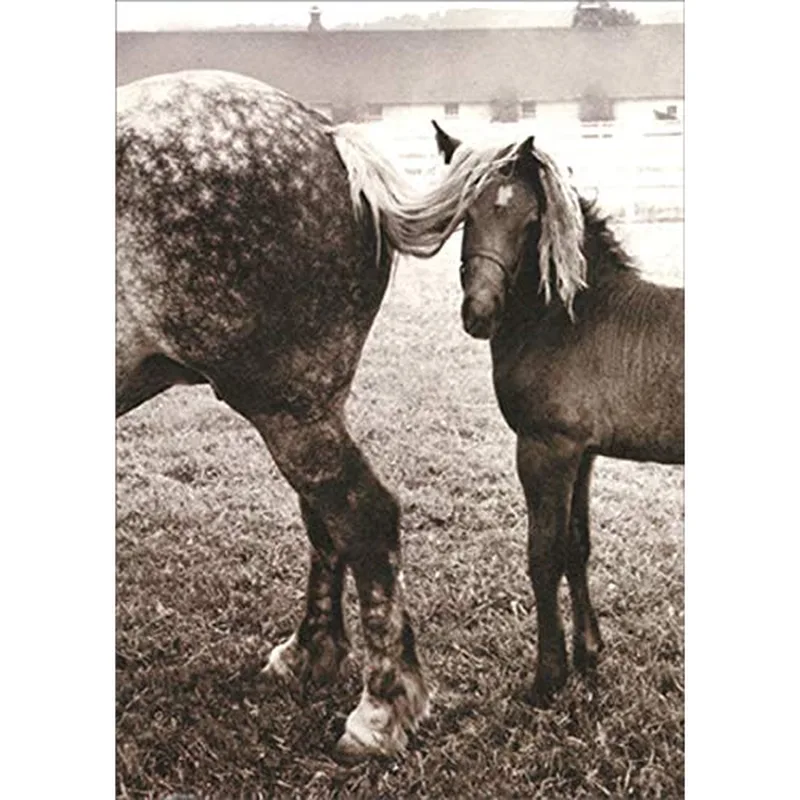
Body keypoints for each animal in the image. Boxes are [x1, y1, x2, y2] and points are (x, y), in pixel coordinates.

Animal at [116, 70, 462, 759]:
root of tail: (329, 137)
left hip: (285, 405)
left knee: (361, 515)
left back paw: (379, 710)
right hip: (308, 408)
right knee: (325, 521)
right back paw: (309, 655)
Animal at [429, 122, 684, 702]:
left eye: (530, 223)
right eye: (466, 215)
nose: (480, 313)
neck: (572, 320)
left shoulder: (545, 450)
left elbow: (543, 556)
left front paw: (547, 677)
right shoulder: (582, 454)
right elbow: (577, 546)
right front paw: (589, 654)